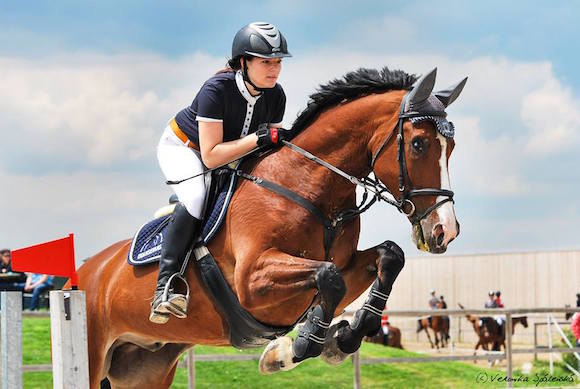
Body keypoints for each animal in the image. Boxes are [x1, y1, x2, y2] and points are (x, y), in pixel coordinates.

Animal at [77, 67, 466, 388]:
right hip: (93, 356)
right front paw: (298, 346)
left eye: (451, 147)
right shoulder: (252, 280)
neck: (309, 185)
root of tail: (84, 272)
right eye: (418, 144)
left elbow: (389, 257)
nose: (445, 231)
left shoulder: (344, 265)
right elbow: (328, 277)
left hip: (145, 368)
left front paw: (341, 339)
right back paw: (166, 296)